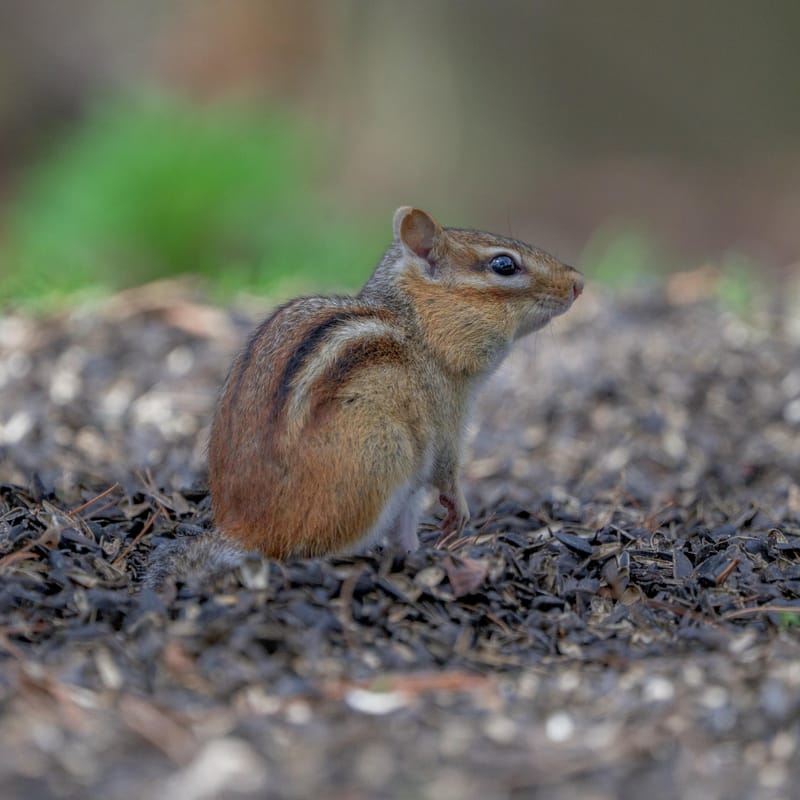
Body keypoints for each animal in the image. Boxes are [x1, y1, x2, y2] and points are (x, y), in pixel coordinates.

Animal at [145, 207, 582, 588]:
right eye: (504, 265)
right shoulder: (444, 420)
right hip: (385, 455)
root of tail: (247, 532)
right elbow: (447, 473)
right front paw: (456, 516)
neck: (417, 330)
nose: (578, 282)